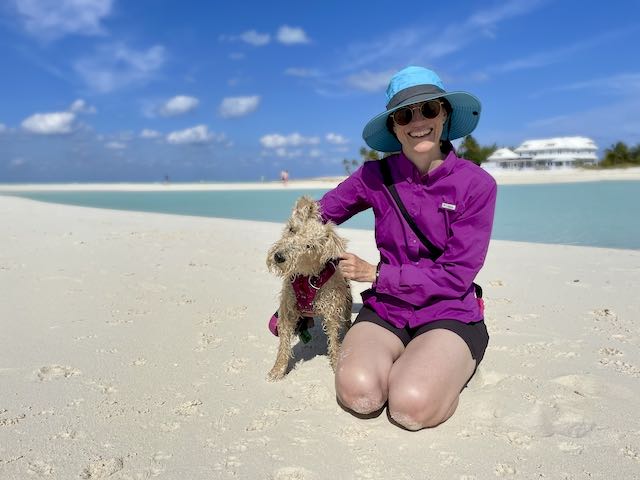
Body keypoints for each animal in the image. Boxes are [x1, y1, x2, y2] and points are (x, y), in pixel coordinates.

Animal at [266, 194, 352, 378]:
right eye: (292, 229)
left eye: (309, 246)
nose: (279, 257)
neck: (306, 278)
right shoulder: (287, 312)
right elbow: (283, 343)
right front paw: (278, 369)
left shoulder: (332, 313)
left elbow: (334, 341)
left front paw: (336, 363)